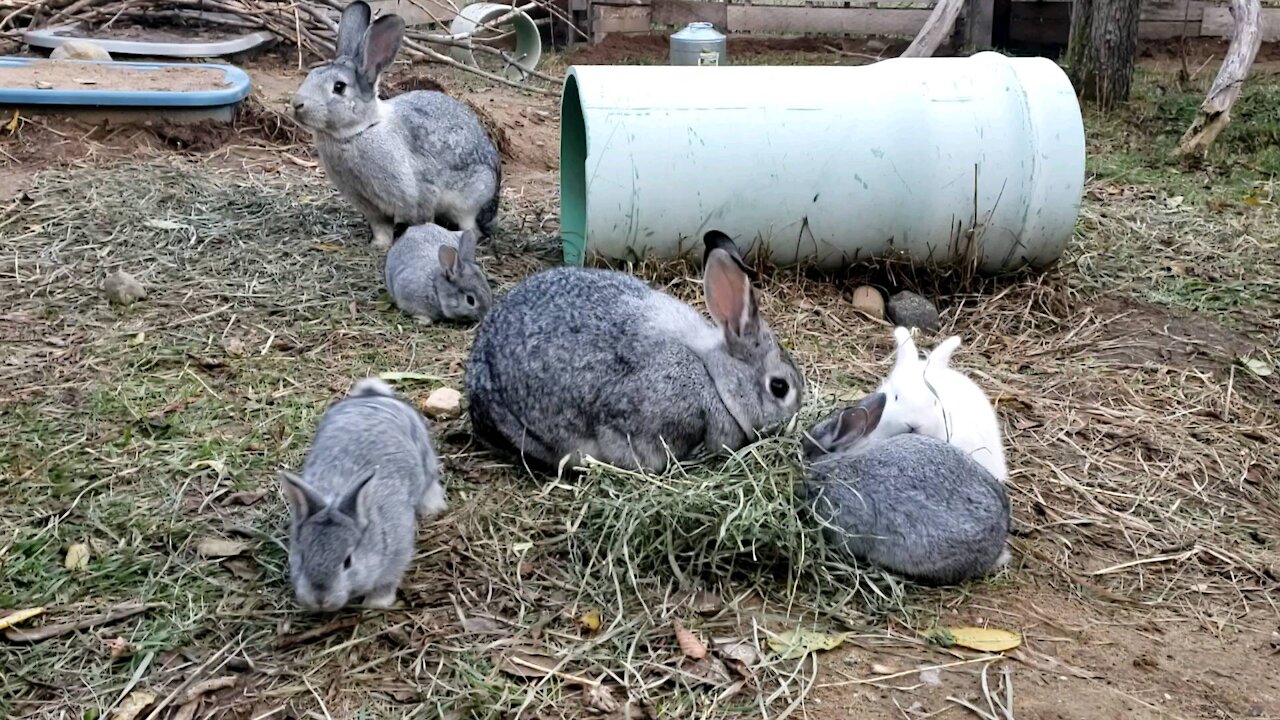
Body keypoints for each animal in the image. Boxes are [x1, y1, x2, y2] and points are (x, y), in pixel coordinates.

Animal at [277, 376, 448, 609]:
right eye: (302, 557)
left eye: (348, 561)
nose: (320, 599)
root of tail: (371, 397)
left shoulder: (398, 551)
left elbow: (388, 579)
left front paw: (376, 603)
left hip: (425, 457)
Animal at [293, 0, 501, 249]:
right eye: (312, 74)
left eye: (339, 87)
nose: (297, 104)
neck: (360, 130)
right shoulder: (371, 208)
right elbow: (381, 229)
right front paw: (378, 246)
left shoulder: (417, 195)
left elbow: (419, 219)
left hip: (473, 196)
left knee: (472, 228)